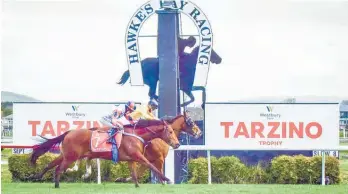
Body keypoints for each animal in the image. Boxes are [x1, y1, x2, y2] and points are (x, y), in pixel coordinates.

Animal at [29, 119, 179, 188]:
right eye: (170, 131)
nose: (177, 144)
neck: (136, 135)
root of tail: (69, 132)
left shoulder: (131, 159)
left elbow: (134, 174)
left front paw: (136, 186)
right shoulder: (138, 156)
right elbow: (152, 166)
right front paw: (166, 179)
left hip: (65, 155)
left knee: (50, 165)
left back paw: (35, 176)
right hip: (71, 157)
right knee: (58, 169)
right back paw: (56, 185)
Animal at [66, 112, 203, 182]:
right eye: (191, 121)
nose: (200, 132)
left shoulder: (145, 159)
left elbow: (141, 172)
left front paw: (124, 179)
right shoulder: (158, 159)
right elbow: (157, 172)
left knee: (85, 158)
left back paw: (80, 172)